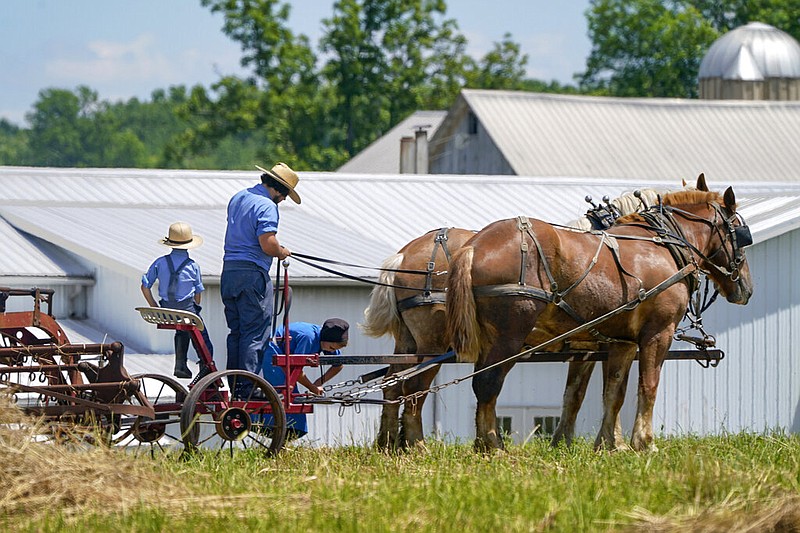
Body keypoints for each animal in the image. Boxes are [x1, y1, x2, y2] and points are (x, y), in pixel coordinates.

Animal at [360, 188, 664, 448]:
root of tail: (403, 256)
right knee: (416, 386)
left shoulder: (590, 344)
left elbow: (581, 392)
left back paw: (387, 443)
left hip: (408, 340)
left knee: (393, 384)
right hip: (436, 341)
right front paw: (605, 442)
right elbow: (596, 392)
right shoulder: (596, 344)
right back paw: (418, 445)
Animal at [446, 177, 752, 450]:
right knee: (488, 383)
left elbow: (607, 393)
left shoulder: (616, 342)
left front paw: (607, 445)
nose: (747, 288)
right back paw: (493, 446)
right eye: (740, 232)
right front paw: (644, 443)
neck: (665, 246)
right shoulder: (657, 333)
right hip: (510, 335)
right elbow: (648, 385)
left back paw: (482, 444)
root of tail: (475, 244)